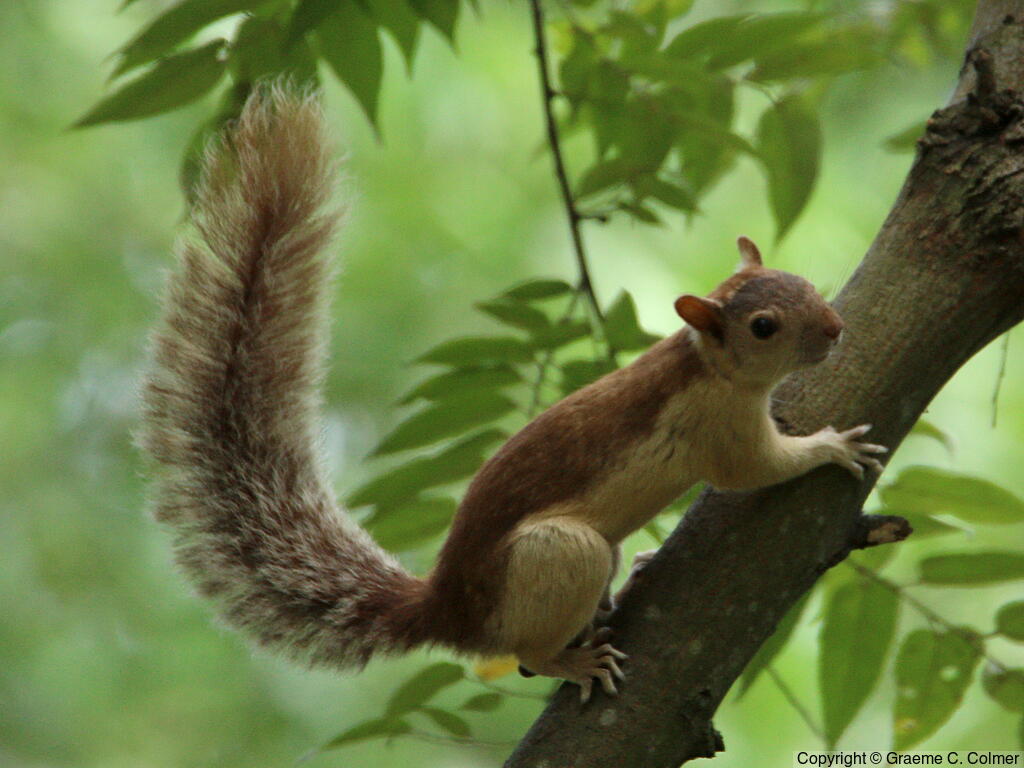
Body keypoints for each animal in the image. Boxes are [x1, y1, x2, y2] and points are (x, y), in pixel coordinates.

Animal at [139, 85, 887, 704]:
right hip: (559, 555)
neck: (706, 364)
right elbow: (756, 469)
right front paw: (832, 446)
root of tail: (448, 610)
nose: (835, 328)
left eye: (802, 281)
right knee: (528, 653)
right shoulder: (718, 427)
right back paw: (575, 661)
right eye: (763, 327)